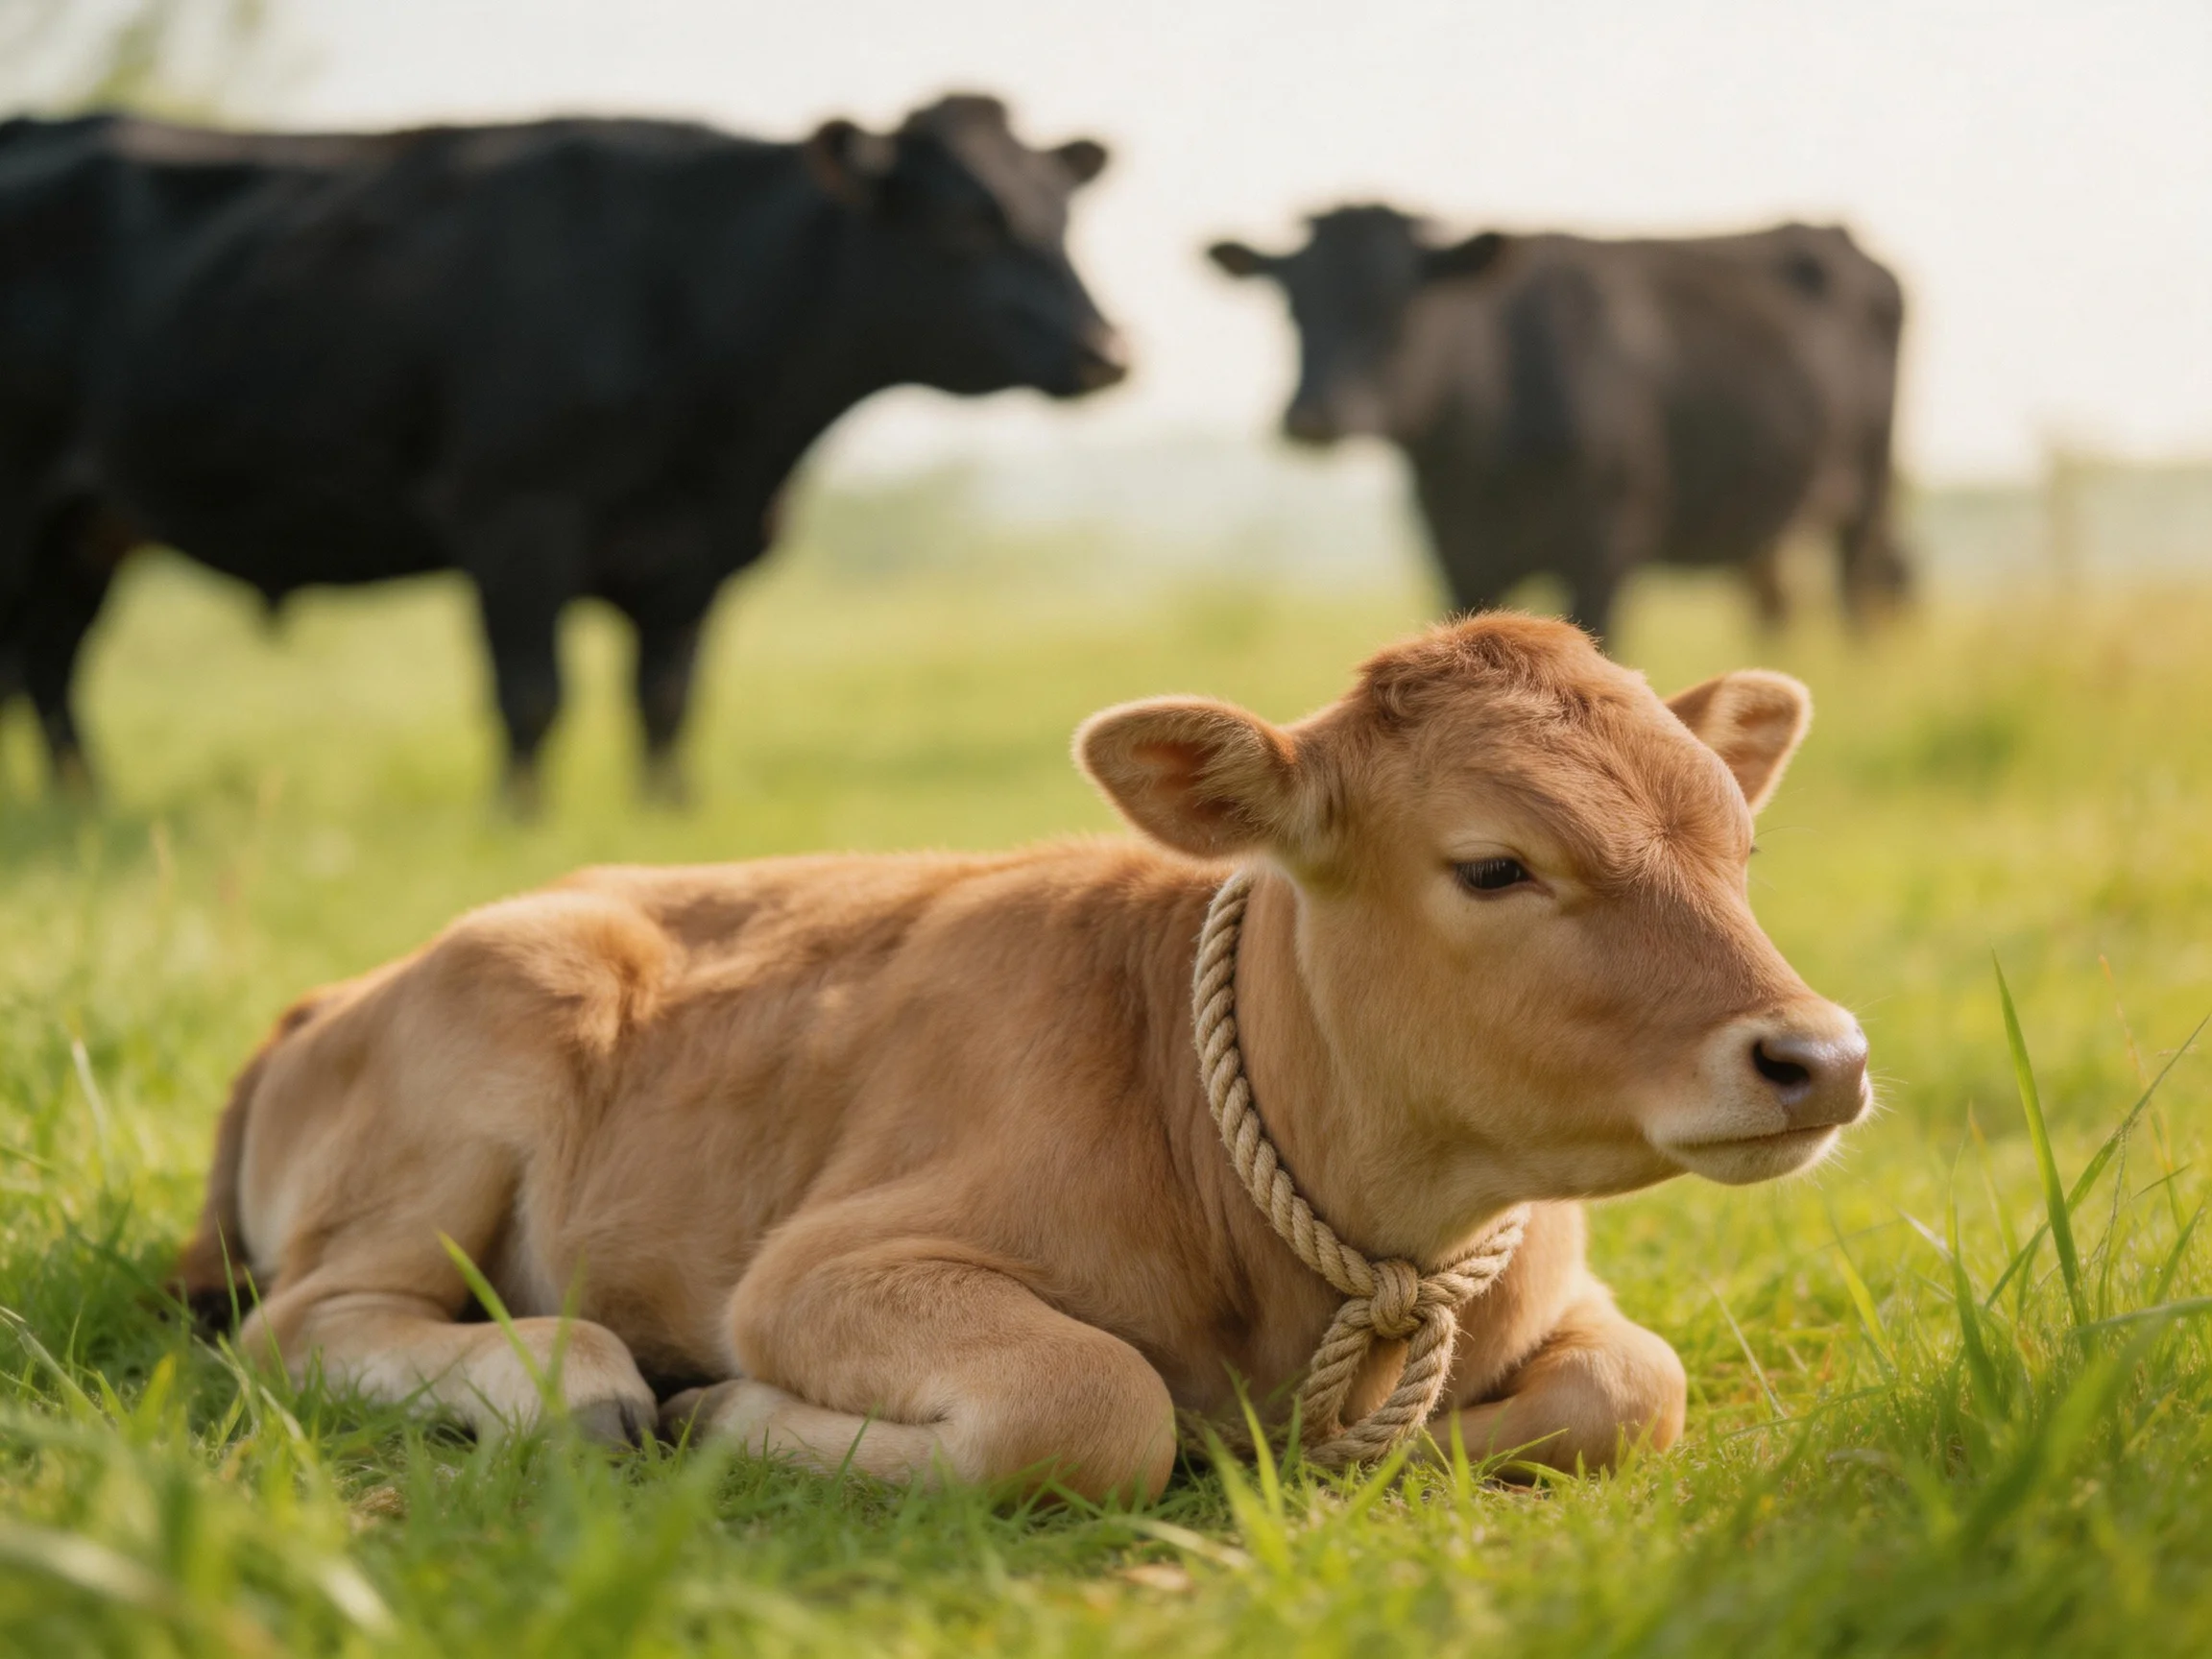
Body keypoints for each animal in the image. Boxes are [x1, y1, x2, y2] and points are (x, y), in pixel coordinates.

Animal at [0, 95, 1125, 807]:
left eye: (1062, 213)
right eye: (964, 222)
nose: (1106, 350)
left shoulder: (695, 552)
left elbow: (667, 698)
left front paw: (671, 811)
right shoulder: (515, 515)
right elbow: (531, 692)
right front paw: (519, 817)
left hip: (84, 530)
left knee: (52, 665)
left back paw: (82, 803)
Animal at [172, 613, 1870, 1499]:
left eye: (1741, 844)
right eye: (1496, 866)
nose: (1821, 1056)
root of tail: (331, 997)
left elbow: (1637, 1386)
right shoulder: (822, 1271)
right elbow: (1094, 1407)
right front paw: (728, 1415)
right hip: (484, 1058)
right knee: (311, 1325)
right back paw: (583, 1378)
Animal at [1207, 207, 1909, 643]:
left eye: (1395, 304)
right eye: (1292, 305)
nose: (1312, 415)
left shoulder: (1606, 547)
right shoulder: (1454, 551)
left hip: (1869, 487)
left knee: (1857, 593)